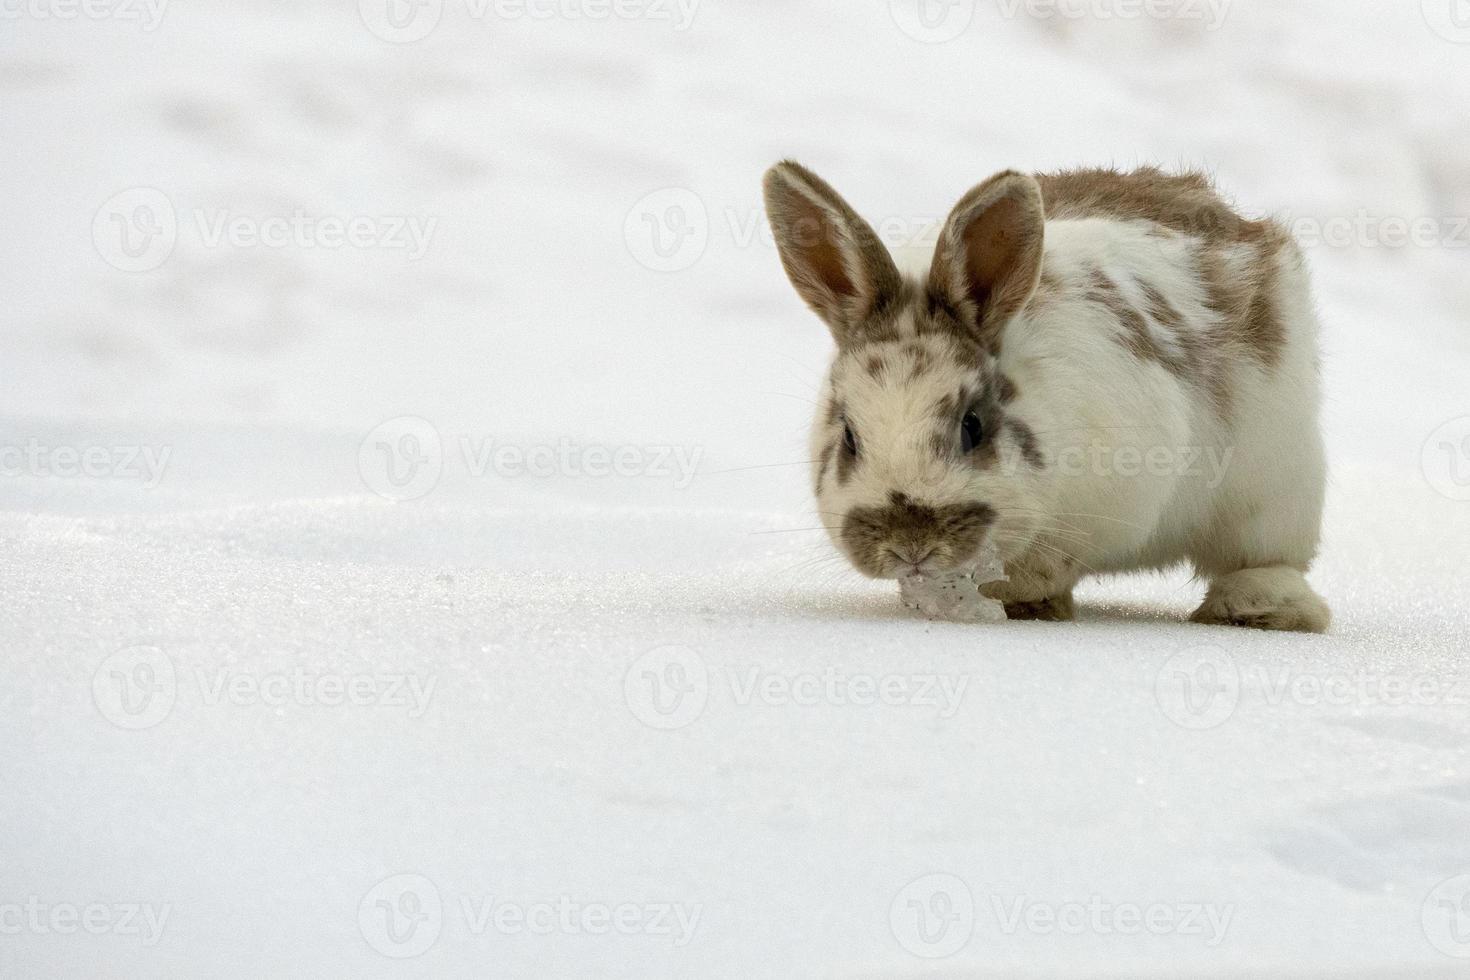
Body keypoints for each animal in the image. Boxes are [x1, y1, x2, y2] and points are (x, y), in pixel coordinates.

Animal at [770, 163, 1334, 631]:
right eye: (849, 436)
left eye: (972, 425)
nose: (911, 546)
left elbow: (1054, 559)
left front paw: (1022, 593)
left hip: (1277, 484)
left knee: (1265, 557)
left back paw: (1256, 609)